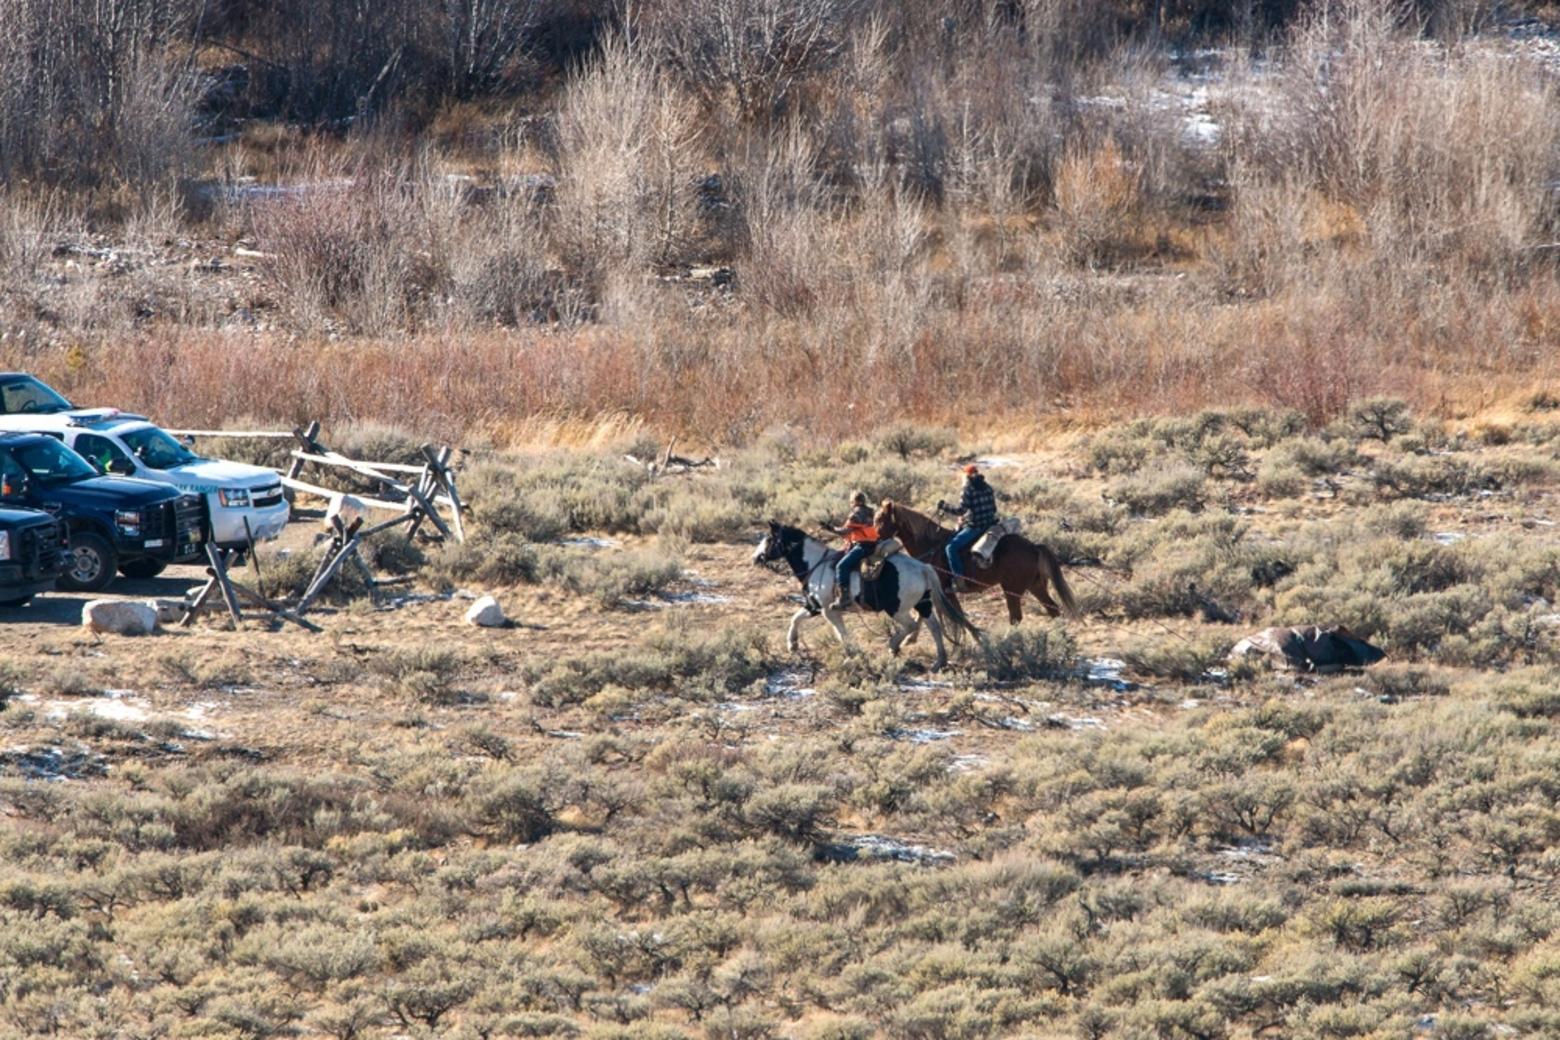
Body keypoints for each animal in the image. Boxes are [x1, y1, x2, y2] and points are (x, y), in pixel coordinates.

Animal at [873, 502, 1079, 626]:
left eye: (880, 520)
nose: (873, 542)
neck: (930, 544)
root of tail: (1033, 547)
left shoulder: (943, 591)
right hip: (1035, 585)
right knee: (1053, 610)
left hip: (1012, 590)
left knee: (1016, 617)